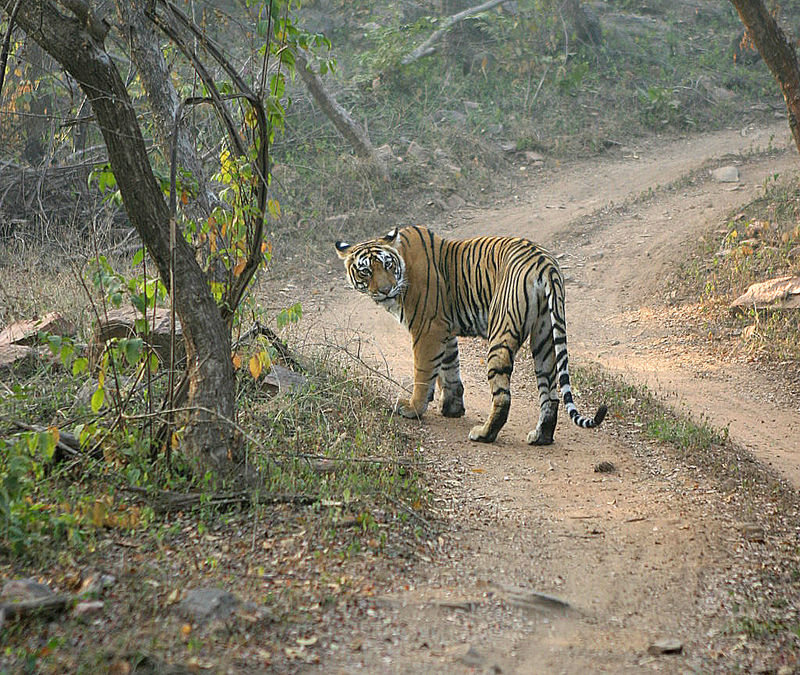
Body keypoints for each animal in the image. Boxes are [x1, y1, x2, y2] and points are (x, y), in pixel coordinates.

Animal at [334, 225, 607, 444]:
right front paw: (452, 407)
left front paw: (413, 408)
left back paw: (484, 434)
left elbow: (423, 373)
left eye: (387, 265)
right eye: (366, 271)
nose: (385, 290)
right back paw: (541, 437)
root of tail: (545, 264)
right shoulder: (444, 330)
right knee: (550, 394)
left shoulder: (428, 328)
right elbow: (449, 368)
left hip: (501, 332)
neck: (404, 264)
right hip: (545, 336)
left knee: (504, 396)